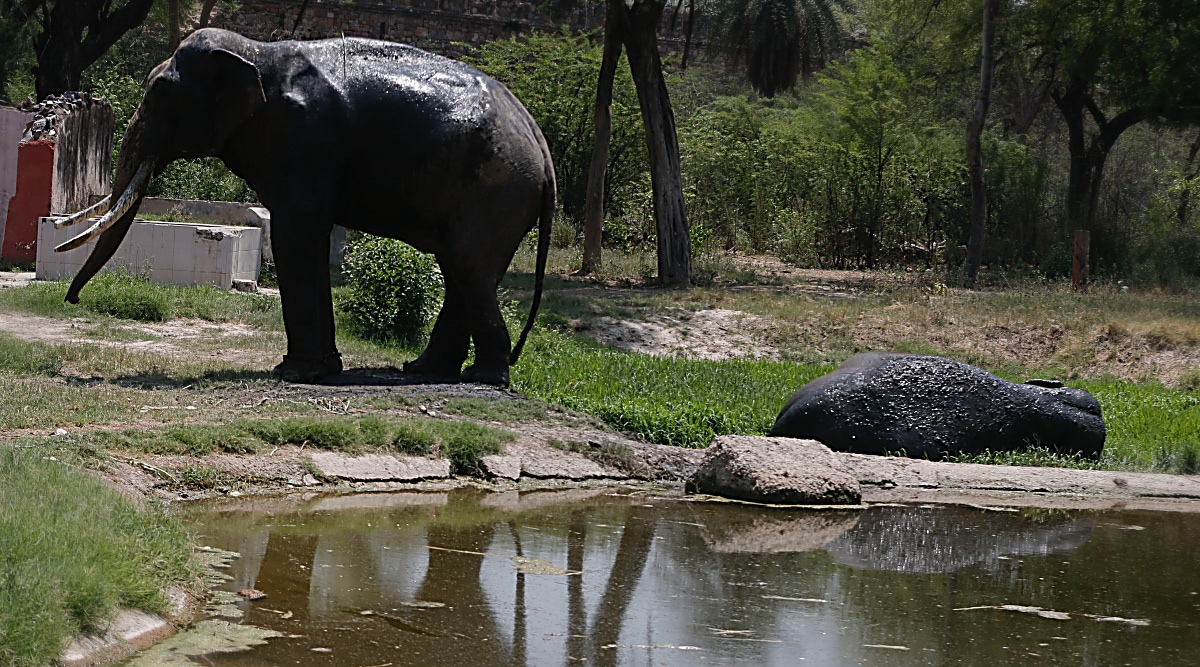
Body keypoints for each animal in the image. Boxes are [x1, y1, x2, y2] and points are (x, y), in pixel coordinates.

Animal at [54, 28, 554, 386]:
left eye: (158, 92)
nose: (72, 300)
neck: (256, 52)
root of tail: (540, 142)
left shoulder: (302, 137)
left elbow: (297, 230)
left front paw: (293, 373)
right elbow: (310, 236)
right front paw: (322, 369)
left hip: (497, 191)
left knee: (467, 267)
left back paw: (483, 377)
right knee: (463, 271)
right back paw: (427, 370)